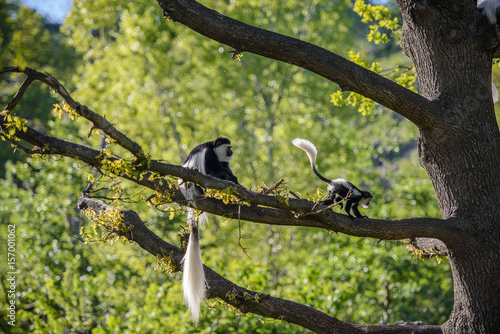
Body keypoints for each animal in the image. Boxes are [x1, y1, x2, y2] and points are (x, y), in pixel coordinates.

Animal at [177, 135, 237, 324]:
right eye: (228, 147)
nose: (232, 152)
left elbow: (226, 168)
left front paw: (234, 178)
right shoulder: (209, 155)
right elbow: (214, 169)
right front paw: (227, 178)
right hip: (198, 186)